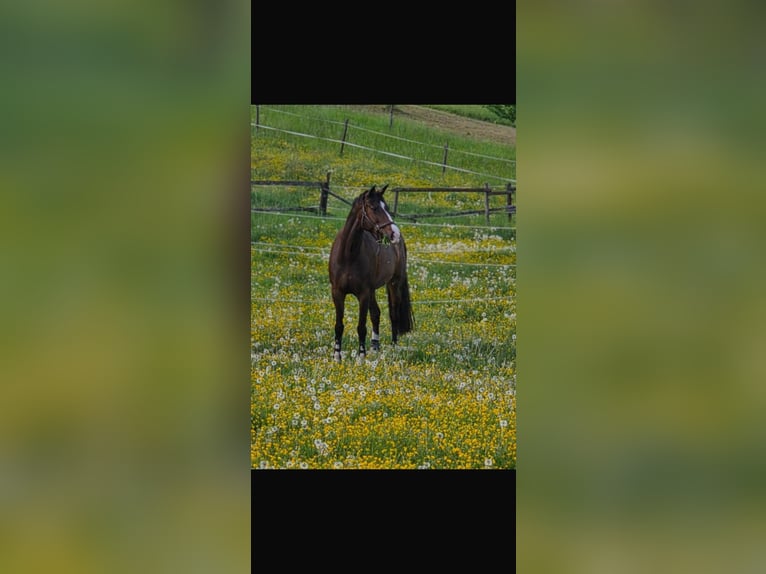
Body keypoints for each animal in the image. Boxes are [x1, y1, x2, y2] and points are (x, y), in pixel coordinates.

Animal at [328, 184, 414, 362]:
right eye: (374, 208)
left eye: (386, 207)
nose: (395, 233)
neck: (348, 254)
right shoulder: (338, 293)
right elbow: (339, 325)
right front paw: (337, 356)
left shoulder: (363, 294)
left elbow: (361, 326)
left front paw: (361, 357)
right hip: (373, 290)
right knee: (376, 314)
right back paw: (375, 347)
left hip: (393, 284)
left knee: (393, 314)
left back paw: (393, 347)